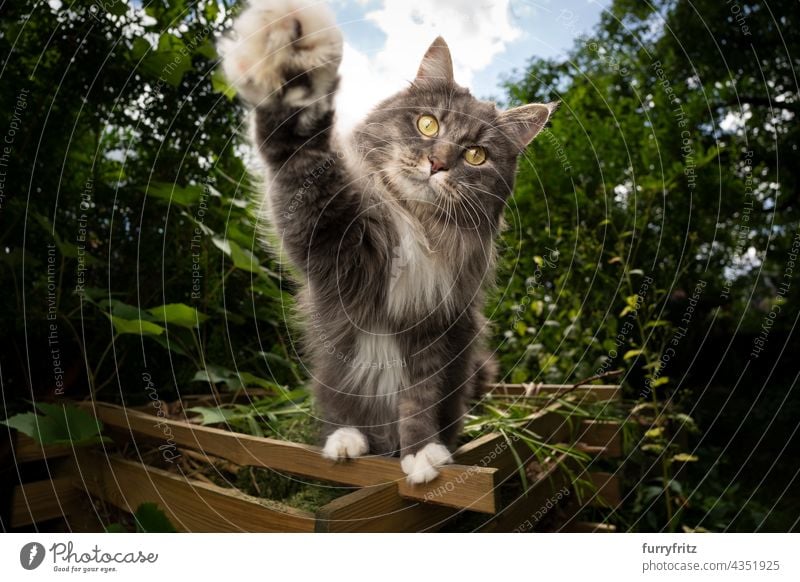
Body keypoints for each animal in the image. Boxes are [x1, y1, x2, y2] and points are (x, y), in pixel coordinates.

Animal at [220, 0, 556, 486]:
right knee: (340, 411)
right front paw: (299, 55)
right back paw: (346, 441)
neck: (417, 224)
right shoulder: (327, 235)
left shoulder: (435, 330)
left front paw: (421, 456)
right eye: (427, 124)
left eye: (476, 155)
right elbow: (299, 147)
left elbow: (419, 401)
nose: (437, 163)